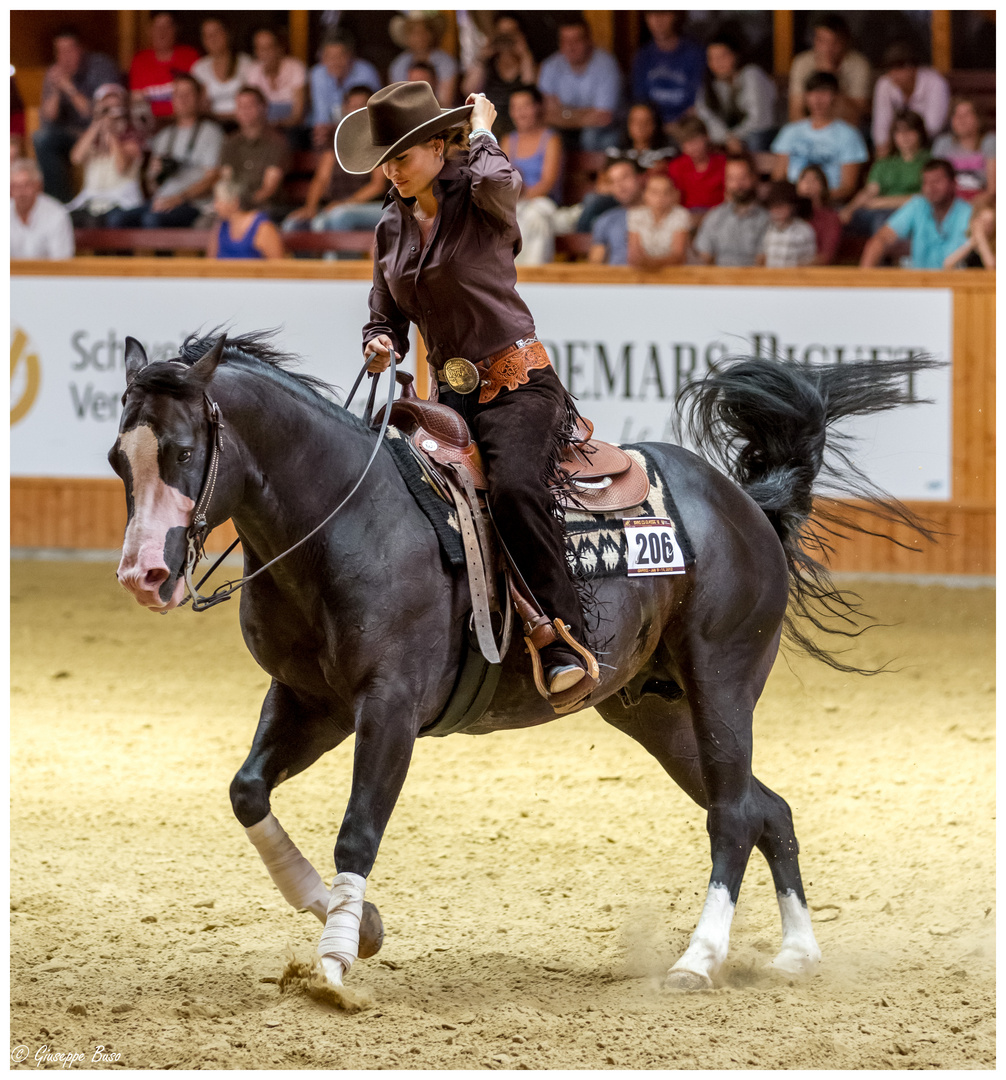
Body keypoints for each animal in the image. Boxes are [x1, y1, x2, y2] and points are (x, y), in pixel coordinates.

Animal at [110, 332, 937, 997]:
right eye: (119, 458)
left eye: (183, 452)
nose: (144, 575)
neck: (348, 517)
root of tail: (745, 505)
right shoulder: (311, 700)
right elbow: (248, 792)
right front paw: (362, 924)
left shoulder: (390, 706)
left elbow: (358, 830)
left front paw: (337, 964)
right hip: (656, 711)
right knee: (769, 808)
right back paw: (797, 954)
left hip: (721, 684)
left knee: (733, 815)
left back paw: (697, 962)